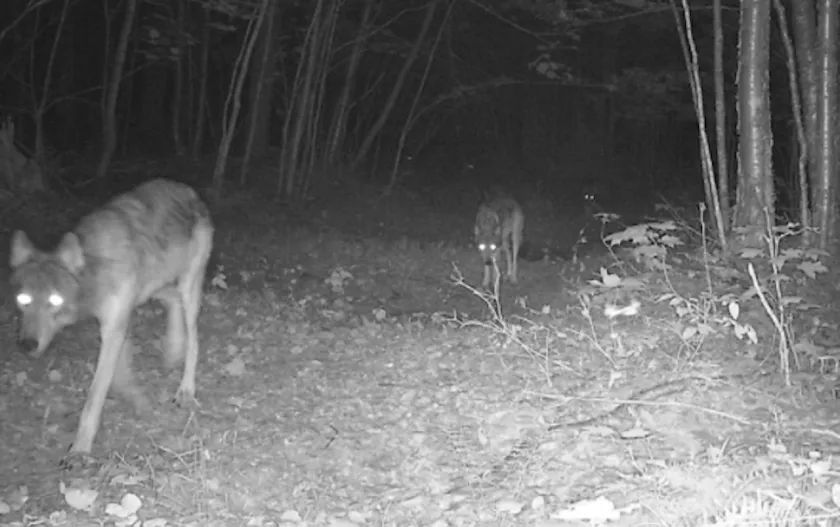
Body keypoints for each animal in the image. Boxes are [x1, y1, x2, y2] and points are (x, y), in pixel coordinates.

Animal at [9, 178, 214, 458]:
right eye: (23, 299)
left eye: (55, 301)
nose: (27, 345)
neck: (96, 271)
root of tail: (189, 191)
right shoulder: (117, 323)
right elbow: (119, 377)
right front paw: (135, 397)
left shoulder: (114, 327)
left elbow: (95, 396)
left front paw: (80, 450)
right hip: (152, 289)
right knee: (171, 301)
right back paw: (172, 351)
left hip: (187, 287)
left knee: (194, 340)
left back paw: (185, 390)